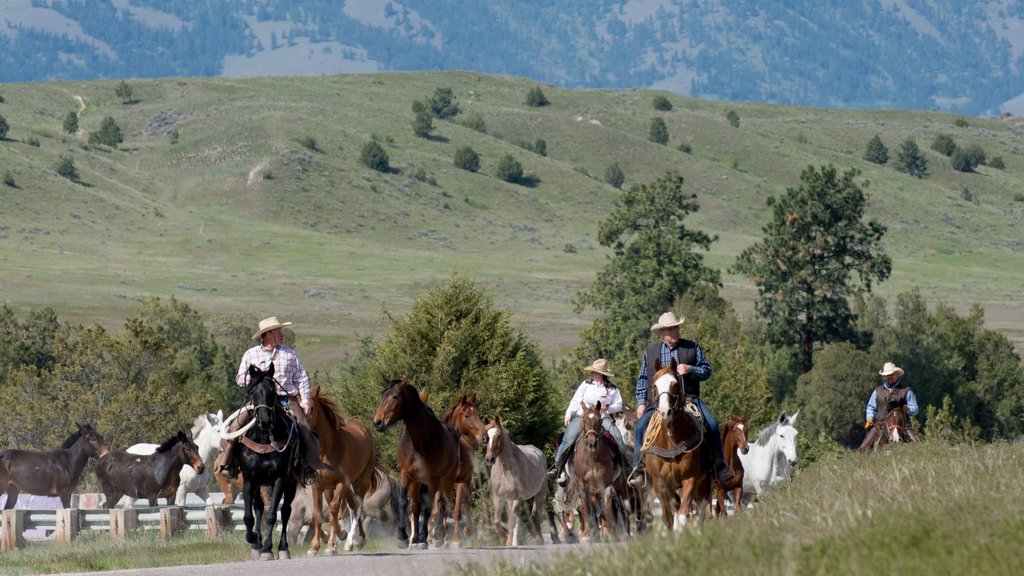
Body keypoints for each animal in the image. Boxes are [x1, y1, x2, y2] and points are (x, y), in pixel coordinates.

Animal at [237, 364, 301, 557]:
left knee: (285, 511)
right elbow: (249, 515)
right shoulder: (249, 480)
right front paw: (253, 539)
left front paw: (267, 547)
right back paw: (257, 543)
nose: (265, 420)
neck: (265, 440)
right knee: (258, 508)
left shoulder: (280, 479)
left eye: (273, 390)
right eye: (253, 391)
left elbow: (273, 514)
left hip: (291, 483)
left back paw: (282, 547)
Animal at [307, 385, 380, 553]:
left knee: (357, 507)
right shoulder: (318, 485)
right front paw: (315, 547)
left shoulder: (342, 483)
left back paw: (354, 541)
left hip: (360, 482)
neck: (327, 450)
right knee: (351, 506)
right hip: (338, 488)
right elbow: (318, 515)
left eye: (311, 408)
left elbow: (333, 511)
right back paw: (351, 541)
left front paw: (332, 544)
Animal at [372, 377, 460, 545]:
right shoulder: (406, 475)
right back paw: (415, 538)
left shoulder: (433, 479)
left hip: (445, 480)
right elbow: (405, 503)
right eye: (381, 396)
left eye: (395, 396)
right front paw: (403, 537)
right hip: (417, 482)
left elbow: (428, 507)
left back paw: (435, 536)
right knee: (416, 506)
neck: (421, 442)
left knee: (440, 505)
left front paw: (424, 538)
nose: (377, 422)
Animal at [483, 412, 557, 541]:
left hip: (539, 495)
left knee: (536, 516)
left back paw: (540, 540)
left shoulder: (515, 498)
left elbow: (511, 523)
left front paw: (507, 542)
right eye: (486, 438)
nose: (489, 459)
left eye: (499, 436)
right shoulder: (497, 496)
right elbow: (497, 521)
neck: (505, 470)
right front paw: (503, 539)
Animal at [638, 358, 712, 528]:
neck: (670, 441)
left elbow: (683, 515)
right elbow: (669, 518)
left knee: (701, 511)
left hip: (703, 484)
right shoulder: (661, 485)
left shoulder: (690, 479)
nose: (665, 412)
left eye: (675, 384)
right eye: (655, 385)